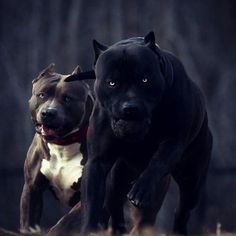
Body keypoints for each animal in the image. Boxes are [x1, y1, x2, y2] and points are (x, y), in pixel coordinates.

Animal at [19, 63, 93, 235]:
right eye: (42, 95)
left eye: (67, 98)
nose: (48, 112)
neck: (63, 144)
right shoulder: (32, 188)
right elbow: (28, 222)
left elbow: (66, 222)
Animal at [68, 31, 212, 234]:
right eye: (112, 83)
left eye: (144, 80)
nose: (130, 108)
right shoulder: (98, 161)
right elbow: (92, 202)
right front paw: (89, 229)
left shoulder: (174, 141)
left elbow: (158, 162)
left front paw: (141, 192)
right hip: (117, 177)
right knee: (114, 207)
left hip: (192, 179)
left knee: (182, 211)